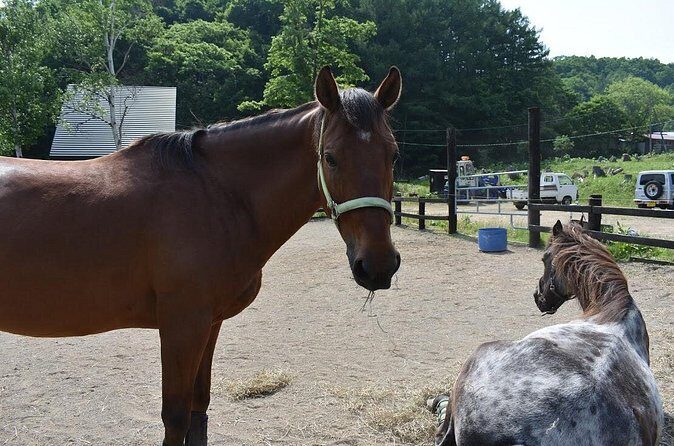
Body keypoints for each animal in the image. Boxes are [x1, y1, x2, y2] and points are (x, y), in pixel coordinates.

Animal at [0, 66, 402, 445]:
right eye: (330, 158)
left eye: (393, 154)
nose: (378, 265)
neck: (215, 194)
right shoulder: (182, 325)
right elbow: (176, 417)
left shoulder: (210, 324)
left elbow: (199, 408)